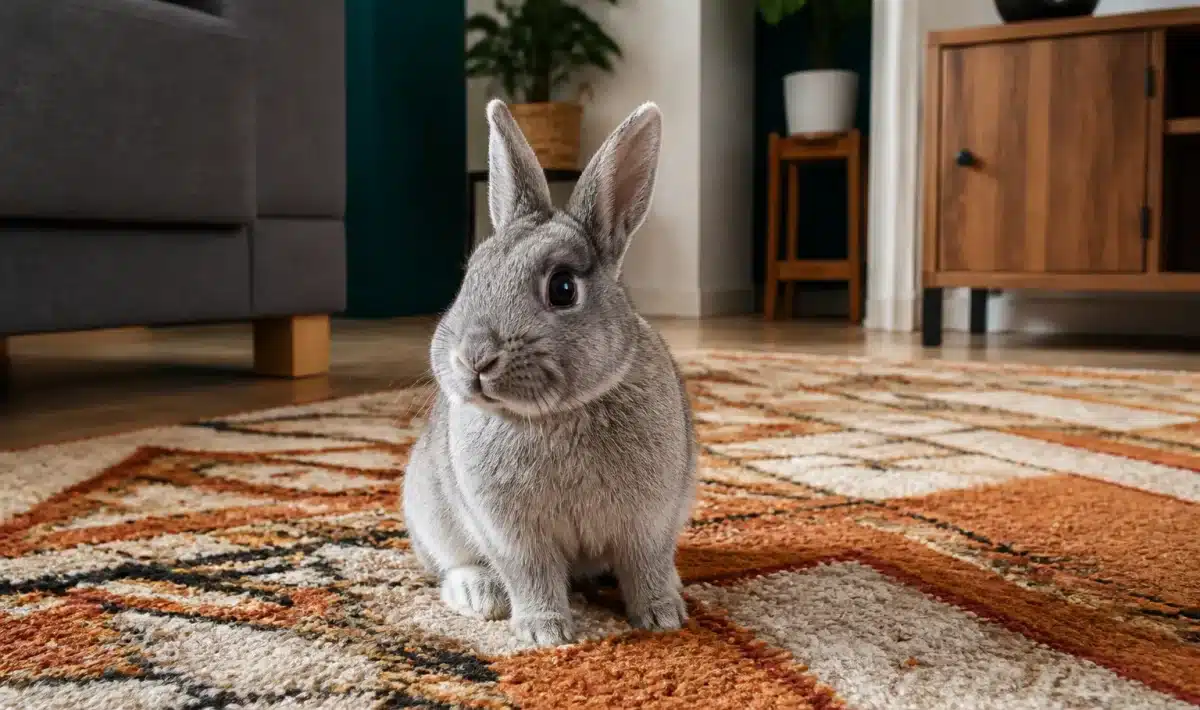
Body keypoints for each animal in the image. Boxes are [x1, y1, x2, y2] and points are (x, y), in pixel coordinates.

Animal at [402, 99, 696, 647]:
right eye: (471, 276)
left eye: (562, 288)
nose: (474, 358)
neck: (557, 415)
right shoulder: (512, 535)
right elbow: (530, 574)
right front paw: (546, 633)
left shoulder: (650, 521)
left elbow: (645, 565)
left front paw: (662, 617)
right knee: (449, 565)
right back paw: (478, 595)